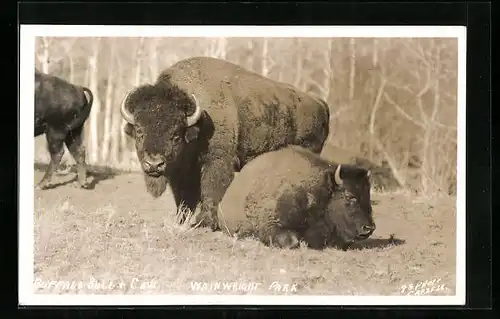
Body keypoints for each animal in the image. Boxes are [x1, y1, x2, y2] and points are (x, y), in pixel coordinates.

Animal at [120, 57, 332, 230]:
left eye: (175, 135)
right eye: (139, 132)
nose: (154, 164)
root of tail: (320, 103)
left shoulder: (217, 160)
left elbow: (210, 189)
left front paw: (205, 222)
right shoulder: (181, 172)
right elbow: (184, 197)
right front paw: (181, 221)